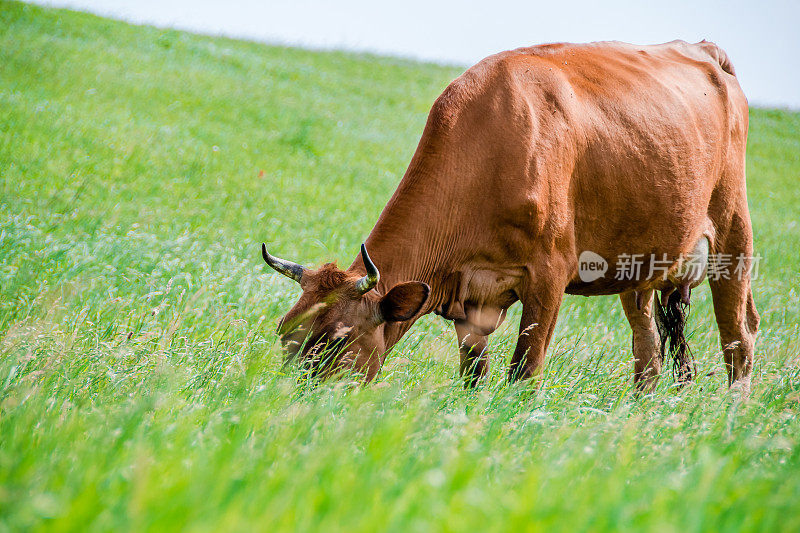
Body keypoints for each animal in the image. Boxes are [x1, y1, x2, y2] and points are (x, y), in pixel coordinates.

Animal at [266, 38, 760, 394]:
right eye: (285, 333)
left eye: (338, 338)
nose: (292, 400)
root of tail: (704, 49)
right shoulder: (470, 297)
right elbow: (474, 375)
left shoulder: (550, 274)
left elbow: (524, 371)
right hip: (642, 263)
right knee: (649, 347)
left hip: (733, 233)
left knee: (739, 335)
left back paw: (732, 414)